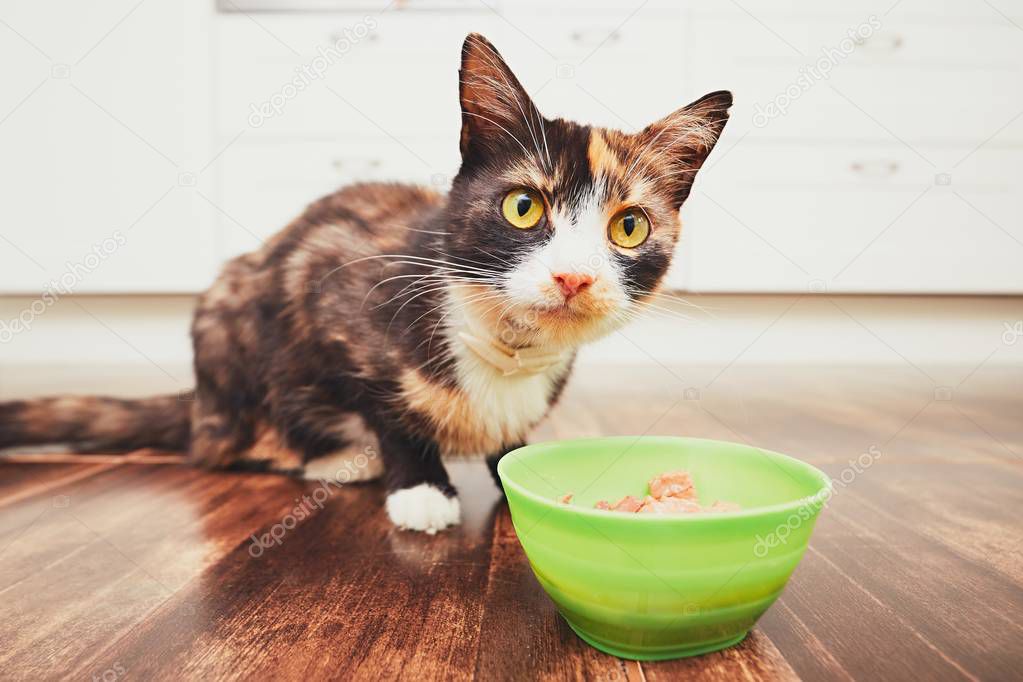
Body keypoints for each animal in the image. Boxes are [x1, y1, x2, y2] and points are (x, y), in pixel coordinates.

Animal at [0, 34, 732, 531]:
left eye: (629, 226)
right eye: (523, 207)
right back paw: (331, 457)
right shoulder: (332, 292)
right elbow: (388, 408)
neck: (505, 342)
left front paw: (515, 465)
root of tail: (200, 403)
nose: (573, 276)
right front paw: (421, 488)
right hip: (229, 318)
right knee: (229, 446)